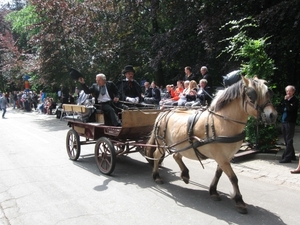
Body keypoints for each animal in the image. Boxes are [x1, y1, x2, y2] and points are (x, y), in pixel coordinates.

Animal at [145, 76, 276, 214]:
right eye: (251, 96)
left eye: (269, 93)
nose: (272, 115)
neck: (223, 122)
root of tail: (163, 113)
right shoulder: (221, 157)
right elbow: (233, 177)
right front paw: (239, 201)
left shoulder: (226, 157)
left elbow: (218, 174)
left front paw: (213, 191)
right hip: (161, 143)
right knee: (156, 155)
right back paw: (156, 176)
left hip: (180, 145)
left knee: (177, 156)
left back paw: (185, 174)